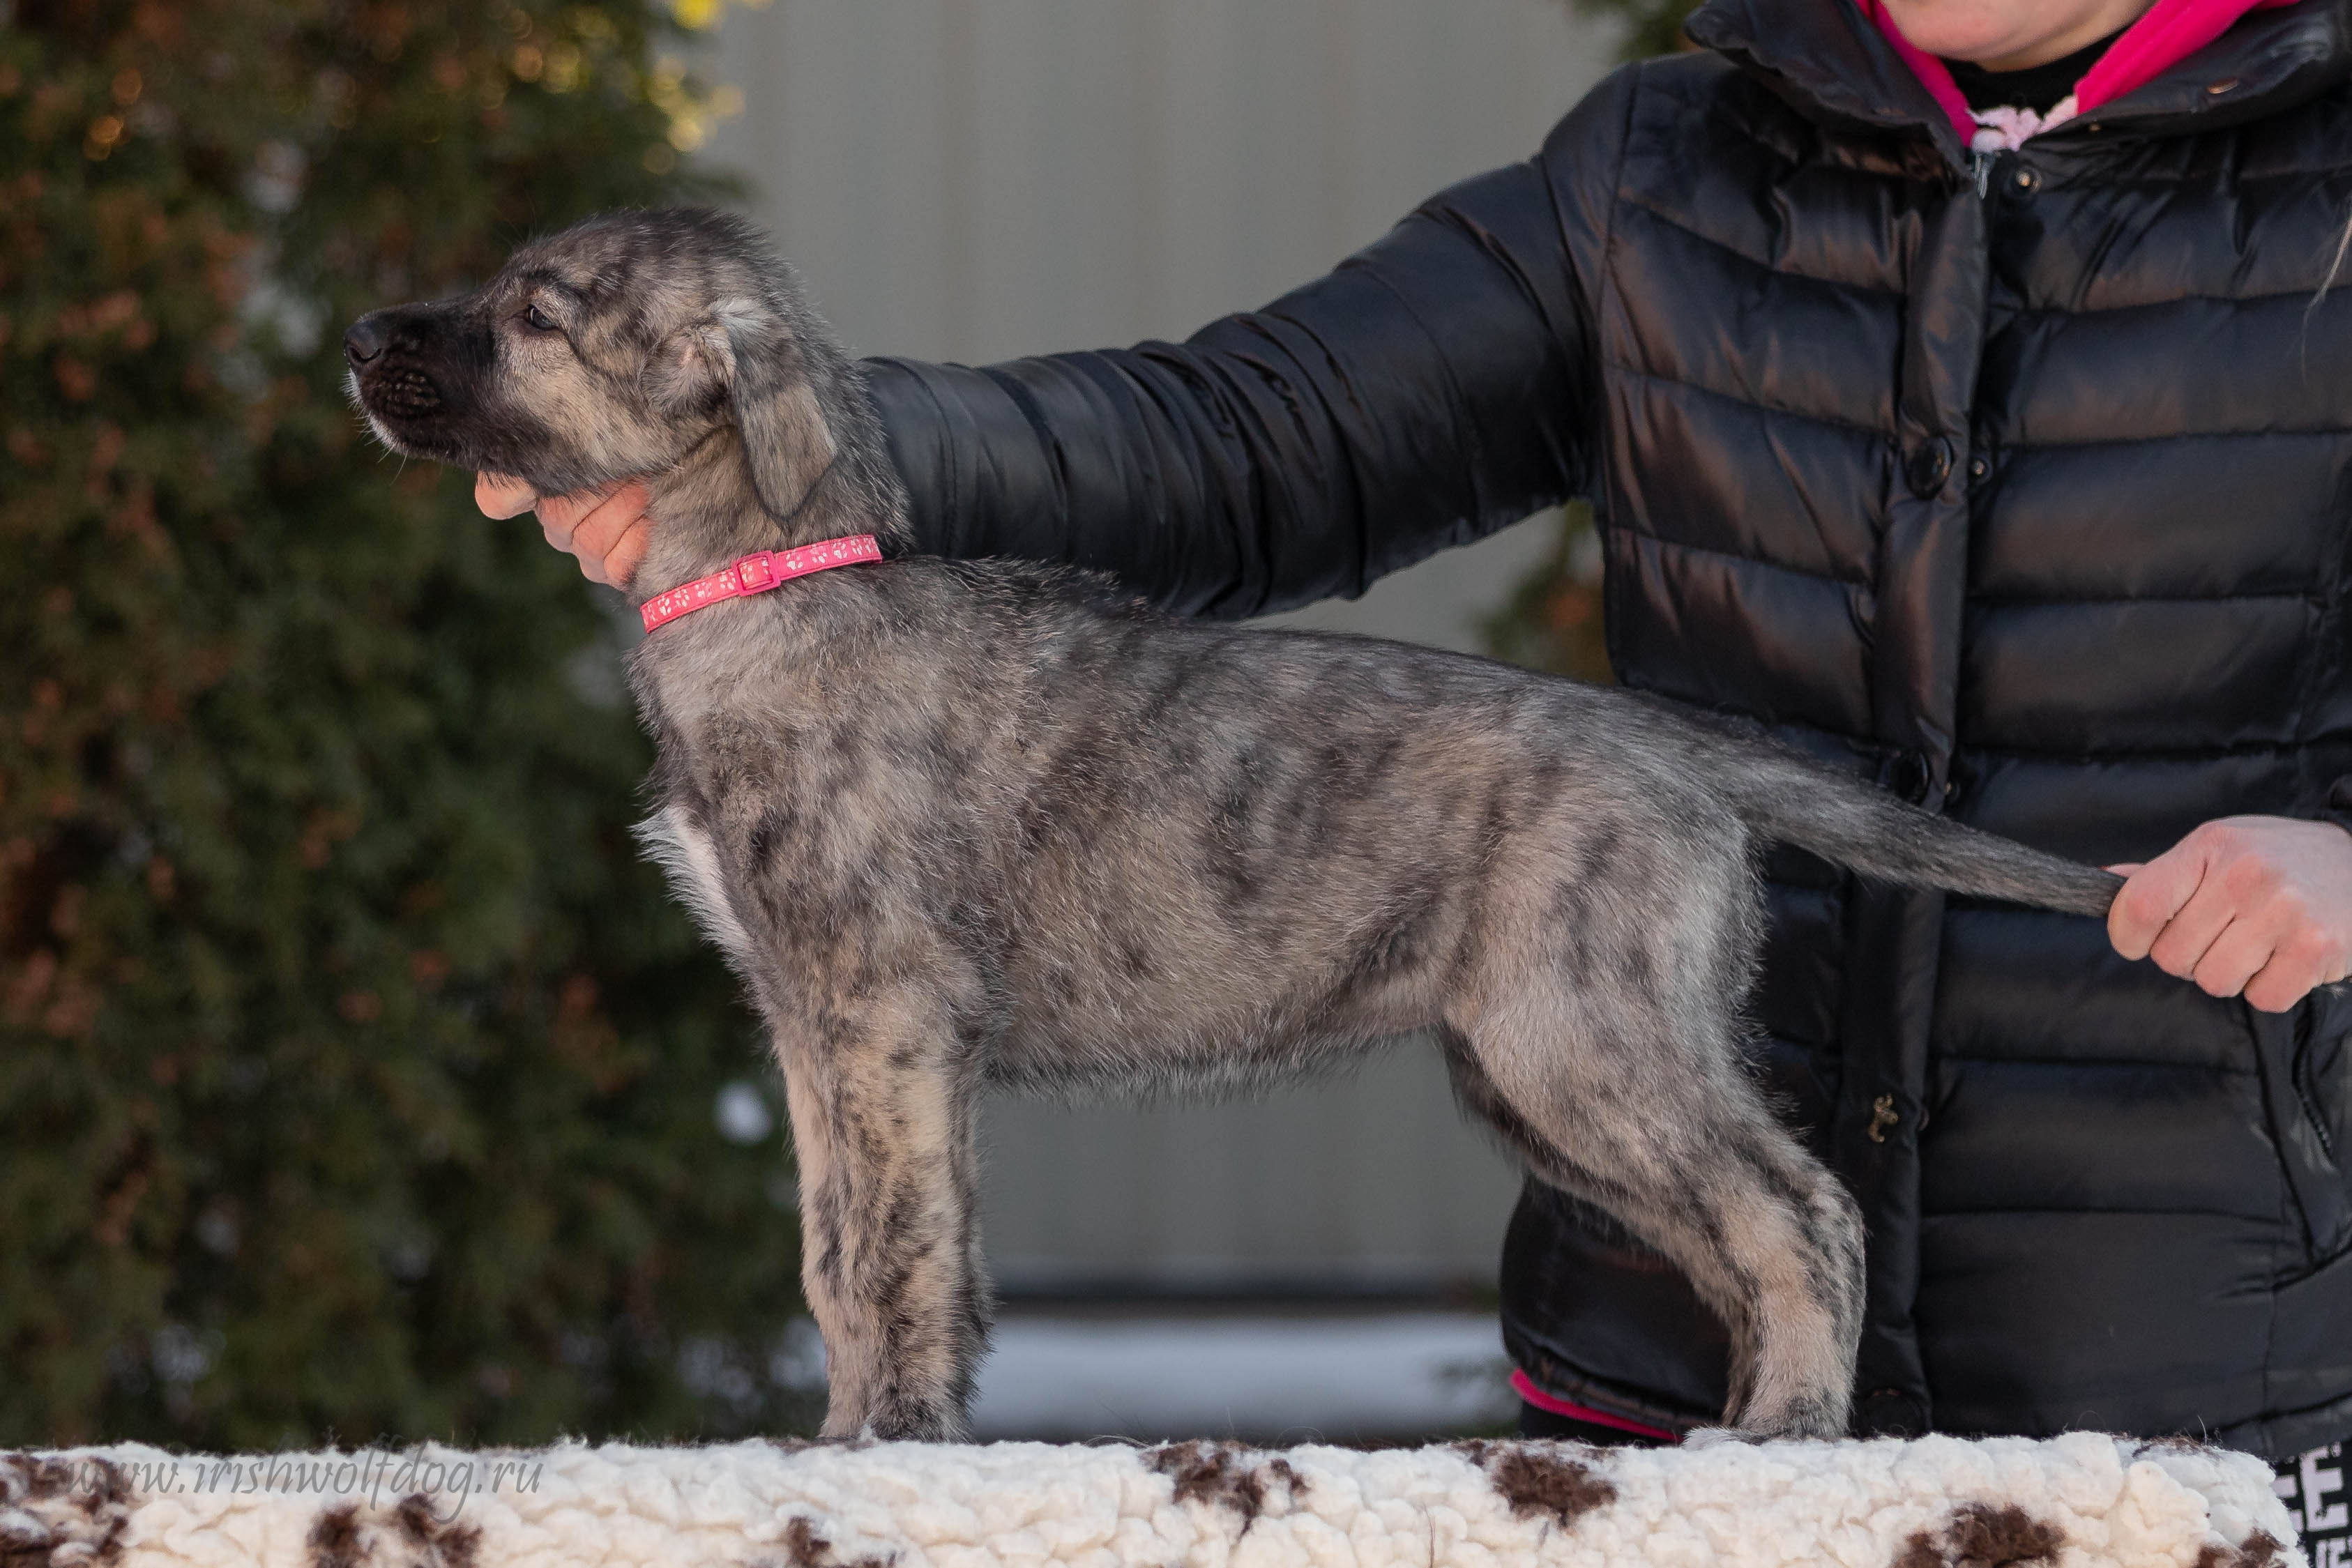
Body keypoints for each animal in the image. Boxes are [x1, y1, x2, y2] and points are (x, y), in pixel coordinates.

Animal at [343, 211, 2116, 1448]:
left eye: (533, 314)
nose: (358, 334)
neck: (774, 581)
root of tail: (1676, 746)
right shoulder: (812, 1031)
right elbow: (832, 1252)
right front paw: (844, 1430)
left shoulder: (887, 1016)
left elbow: (893, 1251)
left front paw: (886, 1444)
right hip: (1549, 1070)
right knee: (1743, 1229)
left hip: (1583, 1033)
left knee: (1800, 1211)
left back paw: (1786, 1433)